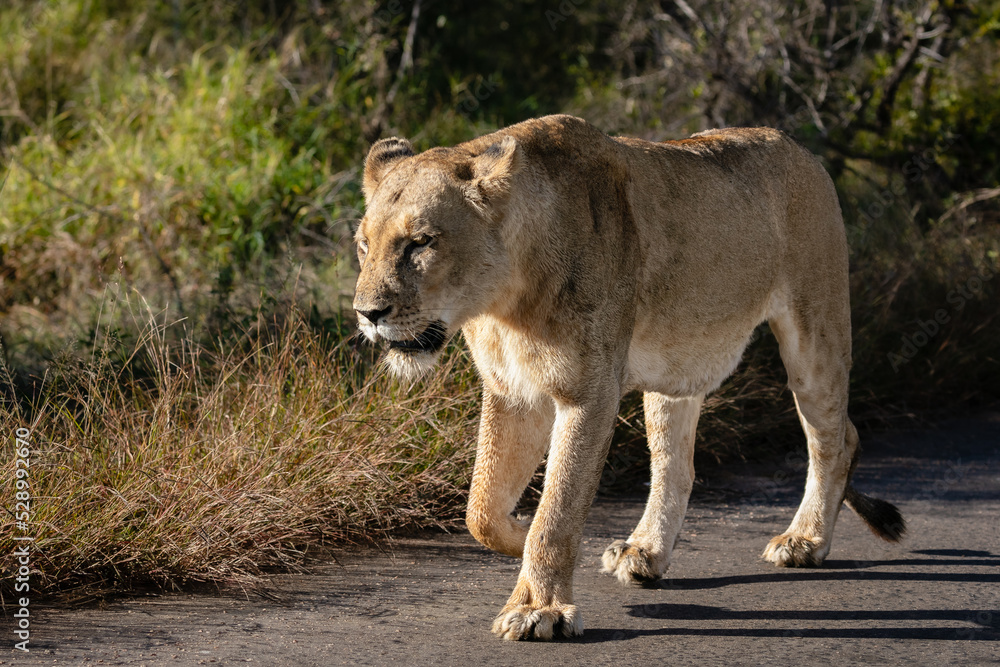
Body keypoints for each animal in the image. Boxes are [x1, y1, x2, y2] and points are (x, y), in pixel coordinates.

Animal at [352, 114, 905, 641]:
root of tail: (799, 148)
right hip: (676, 366)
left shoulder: (589, 391)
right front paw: (517, 532)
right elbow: (481, 509)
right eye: (363, 245)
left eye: (420, 243)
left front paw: (538, 609)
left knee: (837, 438)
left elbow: (557, 511)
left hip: (815, 333)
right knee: (677, 466)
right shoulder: (513, 390)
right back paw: (646, 552)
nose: (367, 313)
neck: (505, 300)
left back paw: (805, 539)